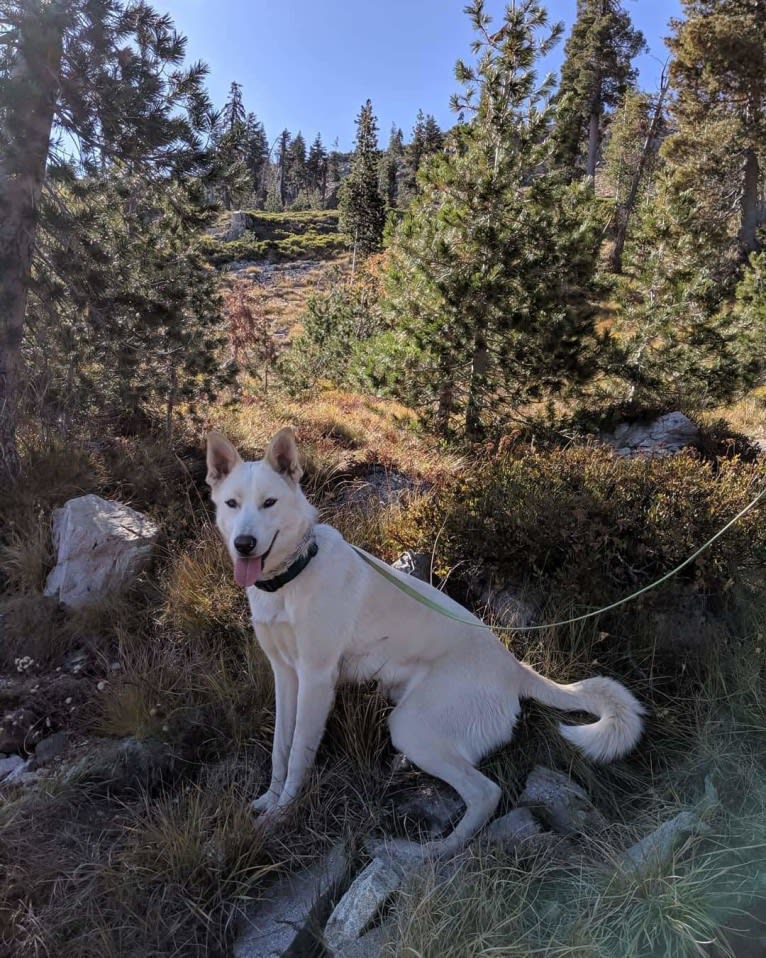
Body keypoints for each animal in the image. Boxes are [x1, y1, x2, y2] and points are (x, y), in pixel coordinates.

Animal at [207, 428, 644, 856]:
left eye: (269, 503)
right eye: (232, 504)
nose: (244, 543)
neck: (292, 574)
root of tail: (515, 668)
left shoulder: (316, 679)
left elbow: (299, 754)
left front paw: (282, 815)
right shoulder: (286, 676)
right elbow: (280, 749)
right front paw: (270, 800)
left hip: (410, 726)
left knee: (485, 792)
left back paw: (438, 851)